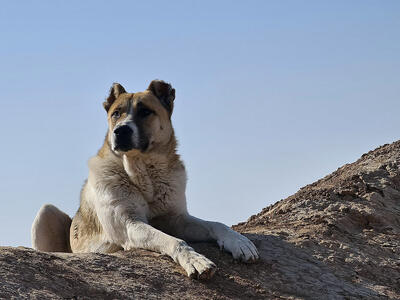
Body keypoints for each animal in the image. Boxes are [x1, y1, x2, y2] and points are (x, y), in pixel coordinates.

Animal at [32, 79, 260, 278]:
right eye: (116, 113)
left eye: (145, 111)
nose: (121, 131)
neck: (145, 174)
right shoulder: (130, 225)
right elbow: (175, 241)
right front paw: (196, 261)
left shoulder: (176, 219)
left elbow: (216, 224)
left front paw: (239, 242)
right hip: (46, 212)